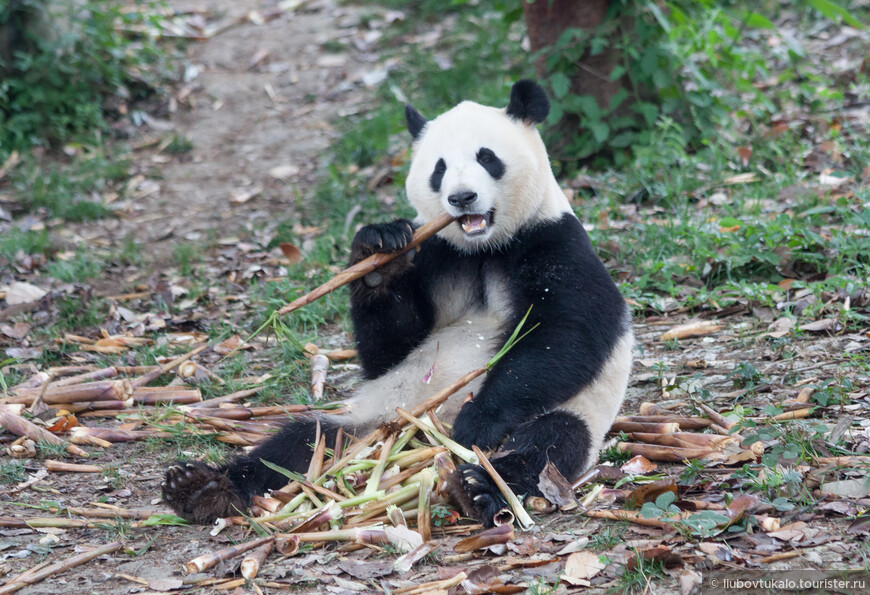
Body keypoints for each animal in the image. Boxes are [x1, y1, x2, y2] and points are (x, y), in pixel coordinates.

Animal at [162, 79, 632, 528]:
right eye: (439, 169)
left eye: (487, 157)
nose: (462, 198)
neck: (483, 249)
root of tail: (422, 436)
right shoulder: (436, 254)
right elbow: (389, 348)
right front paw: (379, 253)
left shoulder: (553, 241)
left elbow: (564, 335)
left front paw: (477, 419)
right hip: (375, 416)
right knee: (302, 441)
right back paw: (201, 488)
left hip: (572, 413)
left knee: (547, 445)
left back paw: (480, 487)